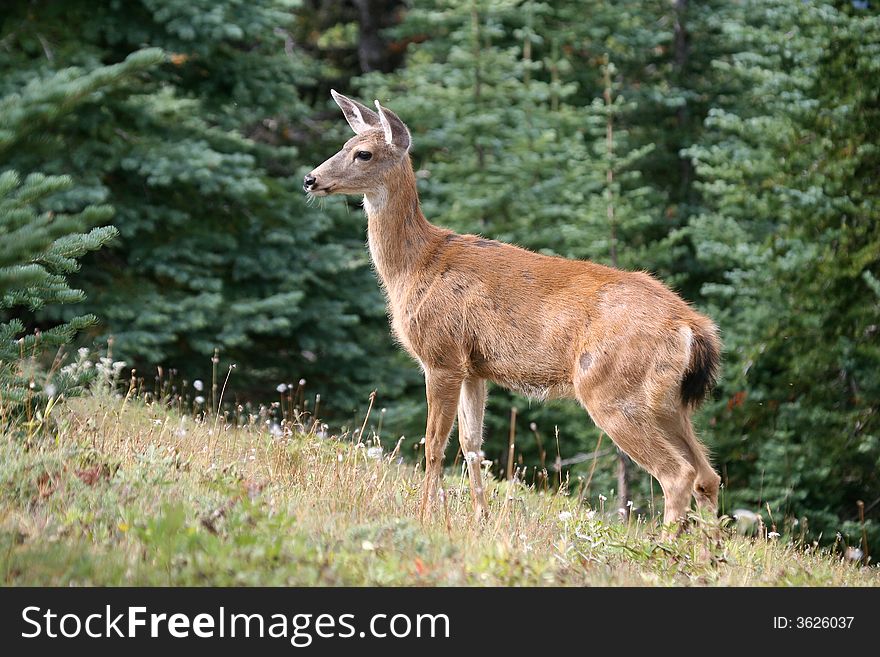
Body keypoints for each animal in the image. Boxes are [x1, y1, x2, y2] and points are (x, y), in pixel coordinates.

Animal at [302, 91, 720, 528]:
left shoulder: (441, 355)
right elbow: (471, 443)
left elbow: (433, 444)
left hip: (611, 388)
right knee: (707, 475)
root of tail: (692, 327)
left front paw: (425, 515)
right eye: (345, 144)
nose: (310, 179)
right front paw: (480, 516)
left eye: (363, 153)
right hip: (669, 400)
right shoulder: (473, 367)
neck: (414, 266)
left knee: (677, 475)